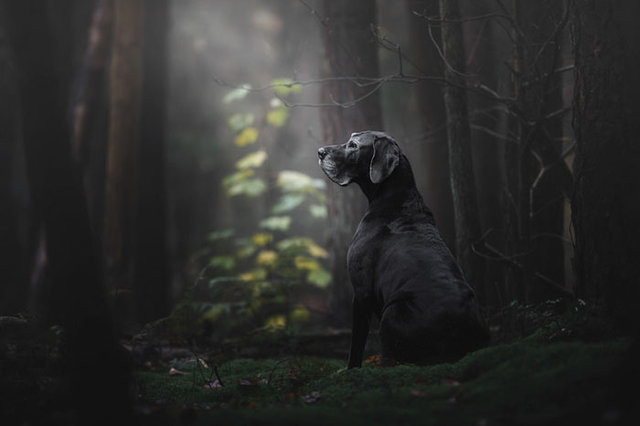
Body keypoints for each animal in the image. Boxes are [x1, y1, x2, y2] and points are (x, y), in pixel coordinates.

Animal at [318, 131, 488, 368]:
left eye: (353, 145)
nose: (320, 152)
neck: (394, 197)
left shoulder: (361, 292)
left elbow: (356, 344)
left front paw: (350, 369)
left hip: (392, 311)